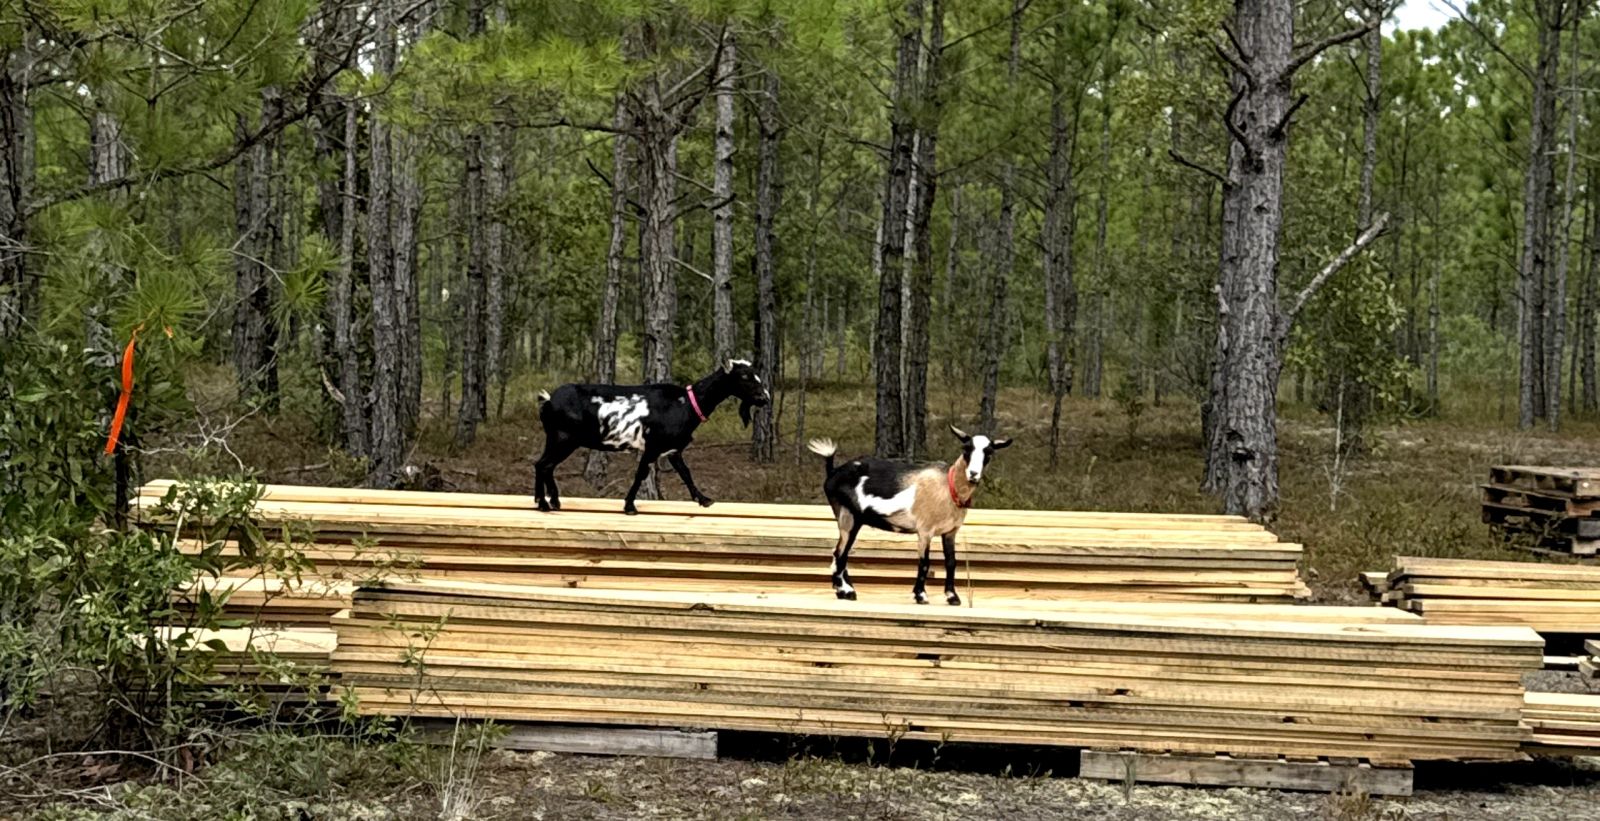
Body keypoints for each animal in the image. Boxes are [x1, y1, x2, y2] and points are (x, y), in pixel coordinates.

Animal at [535, 359, 771, 515]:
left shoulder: (673, 449)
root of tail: (548, 400)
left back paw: (550, 501)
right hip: (563, 439)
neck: (686, 403)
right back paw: (545, 504)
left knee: (544, 465)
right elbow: (641, 474)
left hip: (556, 439)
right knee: (544, 465)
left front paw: (704, 499)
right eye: (744, 376)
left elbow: (685, 473)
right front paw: (629, 506)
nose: (764, 398)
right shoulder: (653, 446)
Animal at [807, 424, 1011, 605]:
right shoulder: (925, 530)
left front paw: (952, 596)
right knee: (840, 554)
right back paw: (846, 591)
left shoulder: (950, 532)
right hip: (849, 516)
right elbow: (925, 562)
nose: (973, 474)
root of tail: (833, 472)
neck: (948, 485)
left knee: (839, 554)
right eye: (966, 448)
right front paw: (921, 595)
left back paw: (844, 590)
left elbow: (951, 562)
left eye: (989, 452)